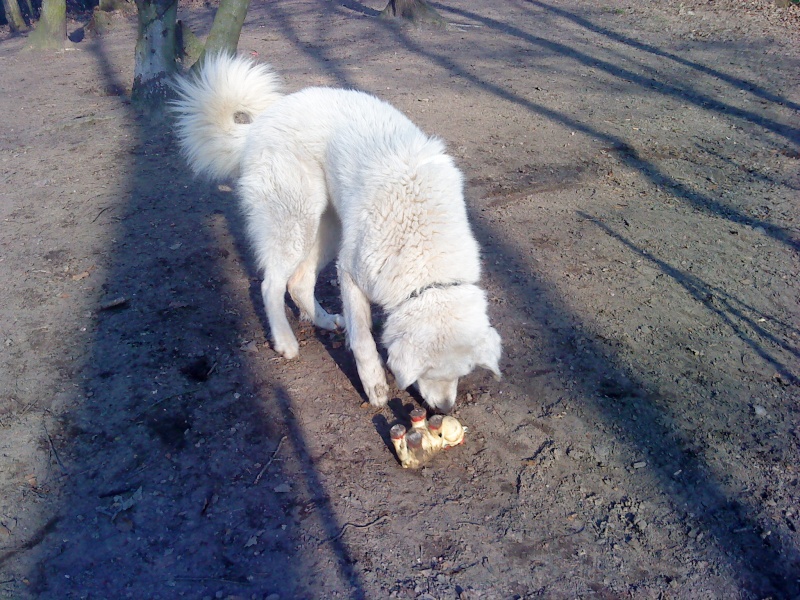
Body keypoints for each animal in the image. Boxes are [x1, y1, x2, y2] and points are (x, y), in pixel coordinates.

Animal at [172, 54, 500, 412]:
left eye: (462, 373)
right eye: (428, 372)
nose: (443, 409)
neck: (424, 254)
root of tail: (258, 125)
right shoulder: (350, 272)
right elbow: (362, 337)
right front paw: (374, 384)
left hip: (326, 230)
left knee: (298, 282)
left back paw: (325, 321)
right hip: (297, 222)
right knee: (271, 285)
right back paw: (286, 342)